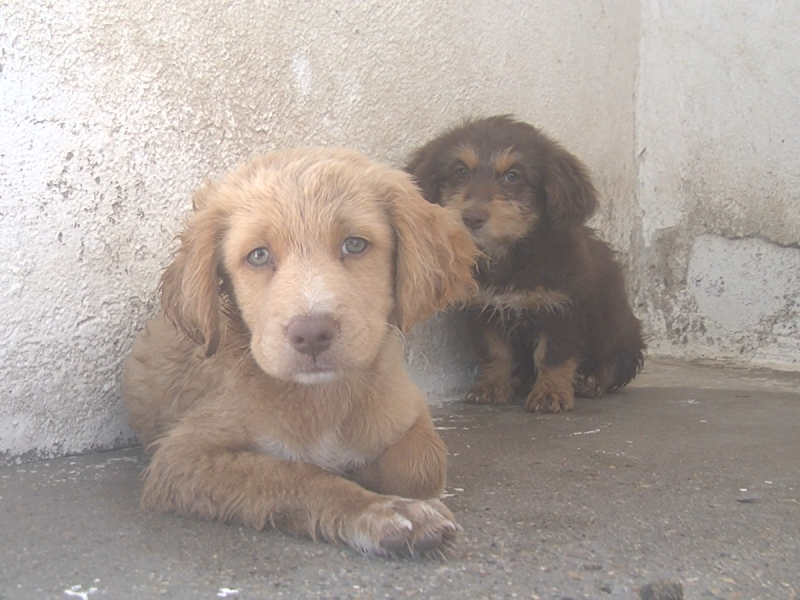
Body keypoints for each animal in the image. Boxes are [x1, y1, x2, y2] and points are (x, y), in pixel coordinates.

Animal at [122, 146, 478, 556]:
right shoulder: (182, 456)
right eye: (259, 256)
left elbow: (425, 465)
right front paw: (378, 510)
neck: (322, 396)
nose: (311, 335)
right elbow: (289, 474)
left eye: (354, 244)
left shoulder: (407, 405)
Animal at [410, 115, 648, 412]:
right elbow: (494, 352)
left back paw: (590, 382)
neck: (509, 254)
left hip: (620, 330)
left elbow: (553, 355)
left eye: (513, 176)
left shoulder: (563, 308)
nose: (472, 218)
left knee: (615, 363)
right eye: (461, 171)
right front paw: (491, 386)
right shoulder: (483, 309)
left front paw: (551, 393)